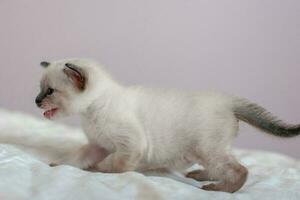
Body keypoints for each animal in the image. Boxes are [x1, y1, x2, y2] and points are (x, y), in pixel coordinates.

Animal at [35, 58, 300, 193]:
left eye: (50, 92)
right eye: (41, 90)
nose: (36, 101)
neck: (91, 111)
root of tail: (227, 100)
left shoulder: (130, 145)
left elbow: (115, 165)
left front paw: (99, 170)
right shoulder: (98, 144)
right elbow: (76, 158)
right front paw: (58, 165)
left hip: (208, 149)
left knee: (240, 170)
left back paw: (218, 189)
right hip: (206, 151)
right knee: (223, 166)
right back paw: (200, 175)